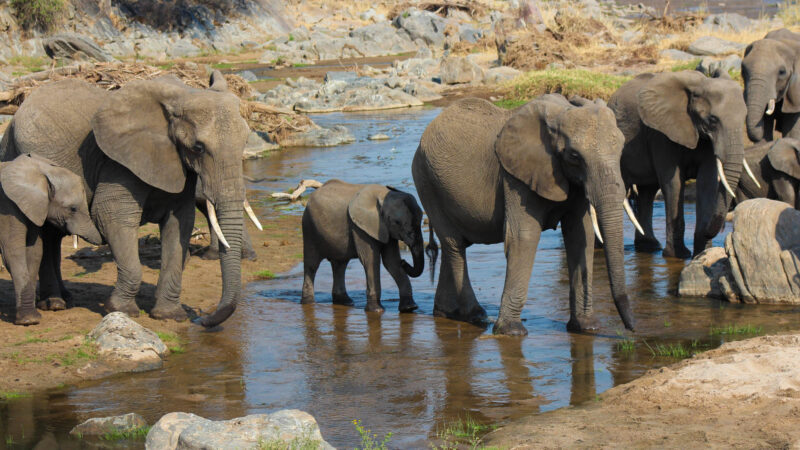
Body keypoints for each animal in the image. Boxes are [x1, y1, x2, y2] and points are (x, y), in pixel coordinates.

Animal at [0, 154, 103, 324]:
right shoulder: (7, 207)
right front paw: (28, 321)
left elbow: (34, 251)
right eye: (73, 209)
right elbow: (14, 253)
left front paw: (34, 316)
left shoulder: (35, 209)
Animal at [300, 179, 424, 312]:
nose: (404, 261)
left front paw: (409, 308)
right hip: (308, 227)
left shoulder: (386, 230)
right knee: (312, 265)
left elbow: (391, 262)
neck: (382, 195)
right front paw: (377, 310)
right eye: (397, 222)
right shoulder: (360, 228)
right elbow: (371, 261)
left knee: (340, 265)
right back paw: (308, 303)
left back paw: (345, 302)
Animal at [412, 94, 636, 334]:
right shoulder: (515, 177)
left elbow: (580, 235)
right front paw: (511, 331)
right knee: (454, 245)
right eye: (574, 156)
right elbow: (523, 237)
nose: (631, 329)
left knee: (451, 246)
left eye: (621, 148)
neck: (559, 114)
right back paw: (475, 315)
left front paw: (587, 328)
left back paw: (446, 313)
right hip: (426, 181)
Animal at [608, 71, 748, 258]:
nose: (723, 228)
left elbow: (706, 182)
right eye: (713, 120)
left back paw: (649, 247)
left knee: (647, 192)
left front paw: (702, 253)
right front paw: (678, 255)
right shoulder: (661, 134)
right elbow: (673, 183)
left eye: (745, 118)